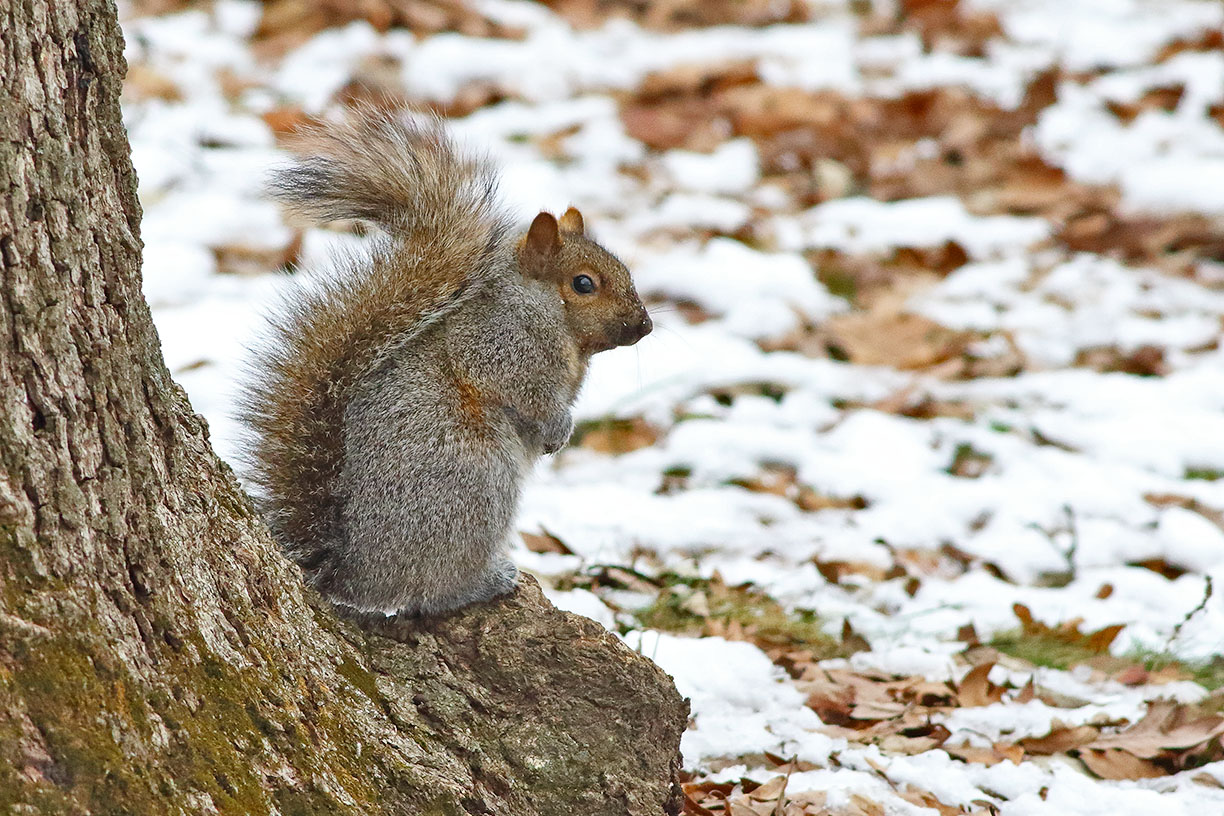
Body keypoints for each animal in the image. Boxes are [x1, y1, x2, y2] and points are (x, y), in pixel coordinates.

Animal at [237, 110, 651, 619]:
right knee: (428, 590)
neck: (555, 323)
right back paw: (483, 583)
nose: (645, 325)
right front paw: (558, 426)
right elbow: (524, 393)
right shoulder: (498, 346)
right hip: (475, 484)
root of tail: (354, 574)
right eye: (583, 283)